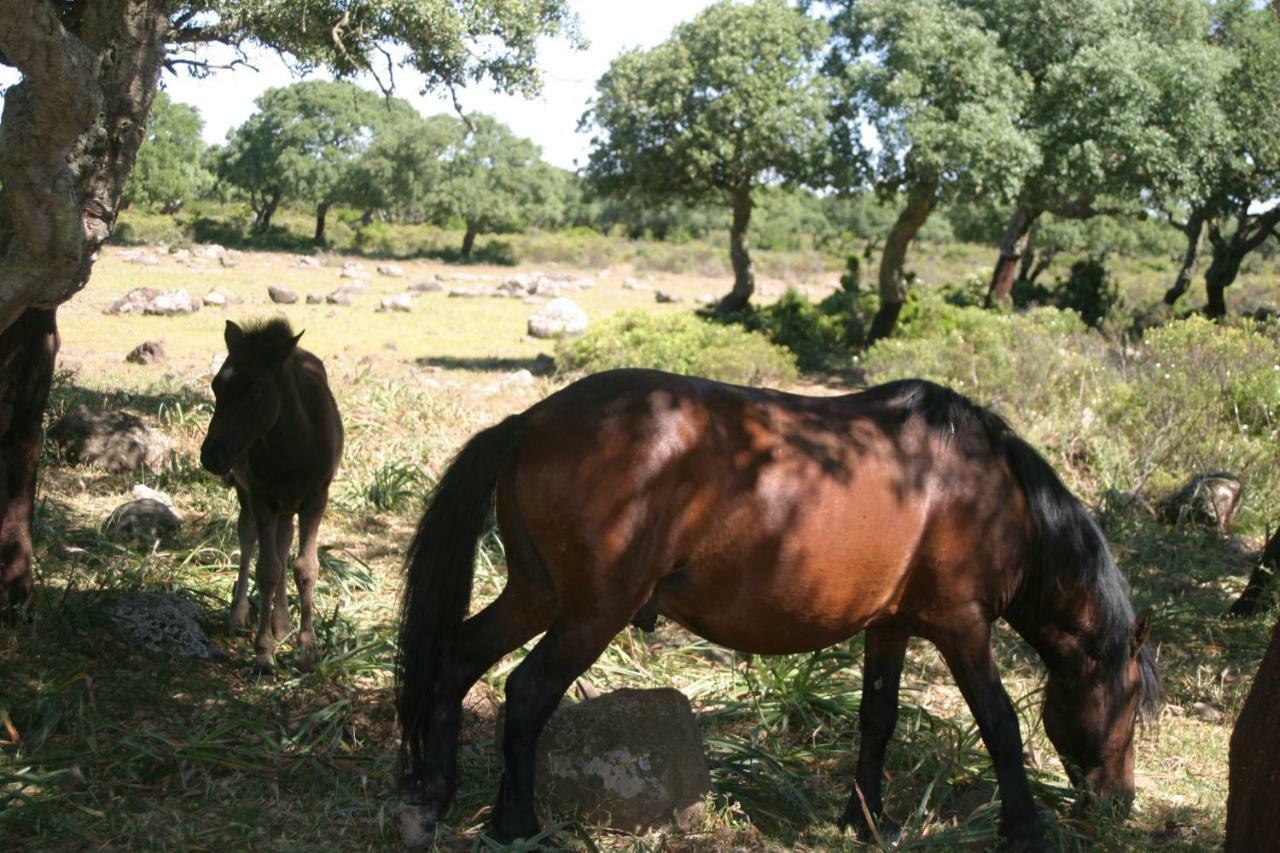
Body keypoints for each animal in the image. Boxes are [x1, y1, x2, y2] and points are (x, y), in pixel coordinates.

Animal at [199, 318, 343, 671]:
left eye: (255, 389)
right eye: (216, 386)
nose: (211, 456)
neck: (294, 445)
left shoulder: (317, 497)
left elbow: (305, 567)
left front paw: (307, 648)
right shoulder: (261, 496)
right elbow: (267, 569)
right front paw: (263, 653)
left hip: (288, 505)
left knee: (284, 540)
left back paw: (283, 624)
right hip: (249, 495)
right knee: (249, 537)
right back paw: (239, 617)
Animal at [396, 368, 1162, 845]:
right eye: (1129, 700)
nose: (1120, 801)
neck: (989, 490)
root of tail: (530, 421)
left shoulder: (890, 627)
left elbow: (877, 720)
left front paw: (866, 821)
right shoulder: (962, 625)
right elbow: (1000, 725)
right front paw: (1025, 827)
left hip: (536, 594)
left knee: (457, 660)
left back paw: (435, 792)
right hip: (591, 613)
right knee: (526, 692)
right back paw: (516, 824)